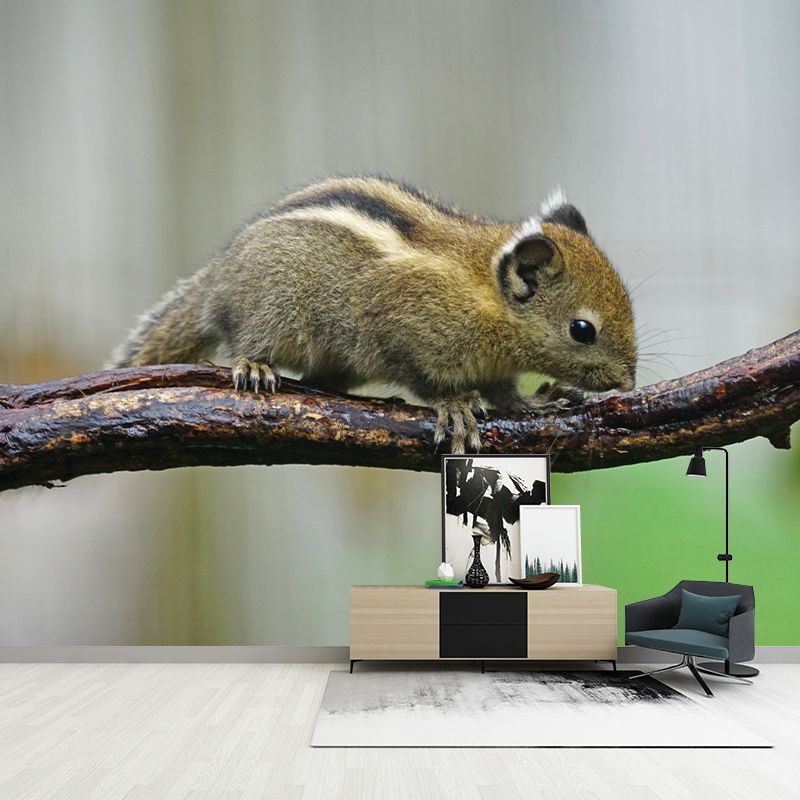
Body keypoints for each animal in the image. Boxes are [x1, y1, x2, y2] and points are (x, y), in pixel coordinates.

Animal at [110, 176, 637, 452]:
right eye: (582, 330)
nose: (628, 383)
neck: (484, 293)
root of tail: (217, 278)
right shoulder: (400, 328)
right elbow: (425, 378)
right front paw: (452, 404)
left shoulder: (496, 368)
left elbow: (506, 394)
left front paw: (534, 402)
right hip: (270, 310)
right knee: (247, 342)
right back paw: (254, 366)